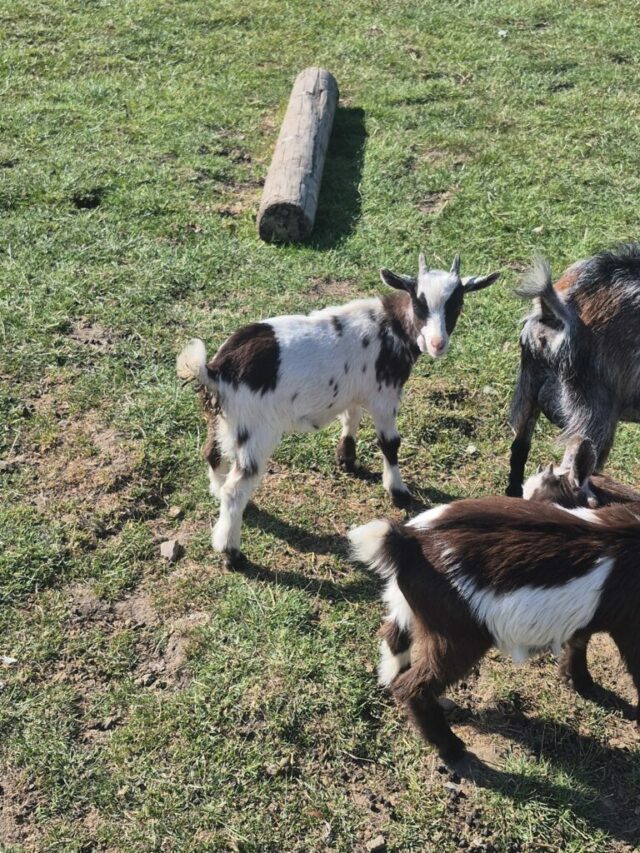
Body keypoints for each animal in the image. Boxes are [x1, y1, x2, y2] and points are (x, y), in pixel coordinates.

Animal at [177, 253, 499, 565]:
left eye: (456, 303)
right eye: (419, 303)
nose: (437, 344)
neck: (390, 327)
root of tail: (216, 369)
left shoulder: (354, 390)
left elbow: (351, 417)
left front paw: (347, 459)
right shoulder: (385, 396)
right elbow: (390, 443)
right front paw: (398, 492)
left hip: (224, 421)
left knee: (212, 454)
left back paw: (223, 501)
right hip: (255, 430)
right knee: (236, 488)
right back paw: (232, 553)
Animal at [349, 498, 640, 762]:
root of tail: (409, 540)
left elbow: (580, 638)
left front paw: (578, 681)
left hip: (408, 605)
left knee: (393, 637)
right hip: (457, 634)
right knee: (415, 686)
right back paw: (451, 748)